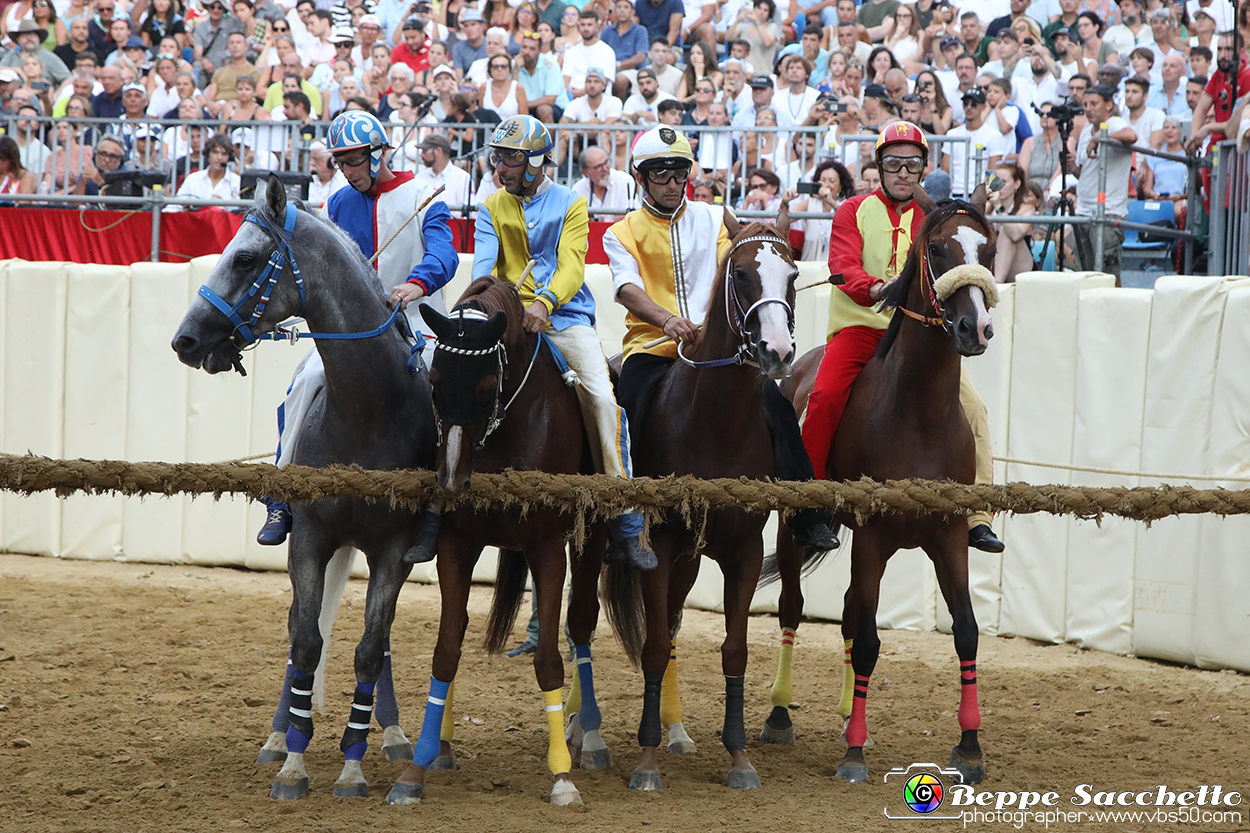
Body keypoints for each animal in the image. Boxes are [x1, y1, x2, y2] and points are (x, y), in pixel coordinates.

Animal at [171, 175, 435, 800]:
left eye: (244, 258)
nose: (184, 339)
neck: (367, 411)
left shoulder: (394, 551)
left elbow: (368, 648)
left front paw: (354, 763)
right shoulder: (309, 540)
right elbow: (306, 640)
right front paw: (292, 757)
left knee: (379, 641)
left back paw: (392, 735)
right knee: (302, 629)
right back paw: (278, 734)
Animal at [385, 277, 610, 805]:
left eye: (487, 387)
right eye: (434, 382)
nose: (449, 480)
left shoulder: (547, 548)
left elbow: (549, 661)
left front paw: (561, 777)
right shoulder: (456, 546)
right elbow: (447, 649)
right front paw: (417, 768)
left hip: (588, 544)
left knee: (581, 624)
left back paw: (587, 736)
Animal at [602, 203, 800, 790]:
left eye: (792, 275)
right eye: (742, 276)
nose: (777, 352)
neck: (715, 423)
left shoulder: (743, 553)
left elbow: (733, 650)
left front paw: (738, 757)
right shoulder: (661, 546)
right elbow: (650, 646)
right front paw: (646, 761)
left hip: (691, 561)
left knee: (671, 623)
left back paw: (677, 731)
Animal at [755, 183, 1000, 785]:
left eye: (987, 250)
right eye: (937, 250)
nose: (975, 329)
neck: (919, 413)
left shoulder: (949, 537)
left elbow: (965, 630)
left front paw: (970, 747)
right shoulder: (872, 537)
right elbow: (867, 640)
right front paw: (854, 754)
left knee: (846, 611)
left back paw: (848, 710)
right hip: (796, 530)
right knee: (794, 607)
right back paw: (779, 714)